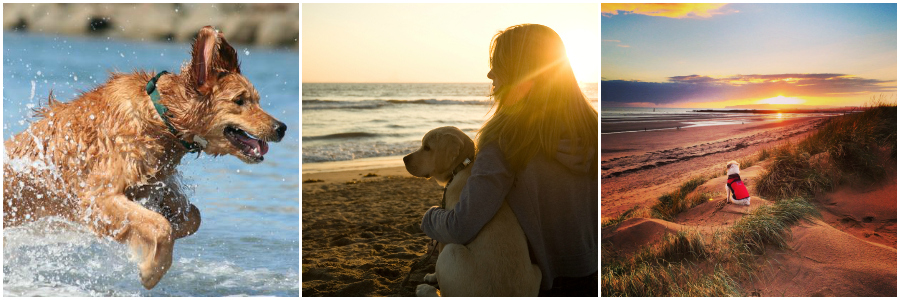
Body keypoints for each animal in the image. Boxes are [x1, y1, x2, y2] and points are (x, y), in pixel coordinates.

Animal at [402, 126, 540, 296]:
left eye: (427, 148)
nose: (404, 159)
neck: (463, 166)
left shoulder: (446, 232)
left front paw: (432, 276)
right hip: (537, 270)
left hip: (452, 251)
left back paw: (425, 289)